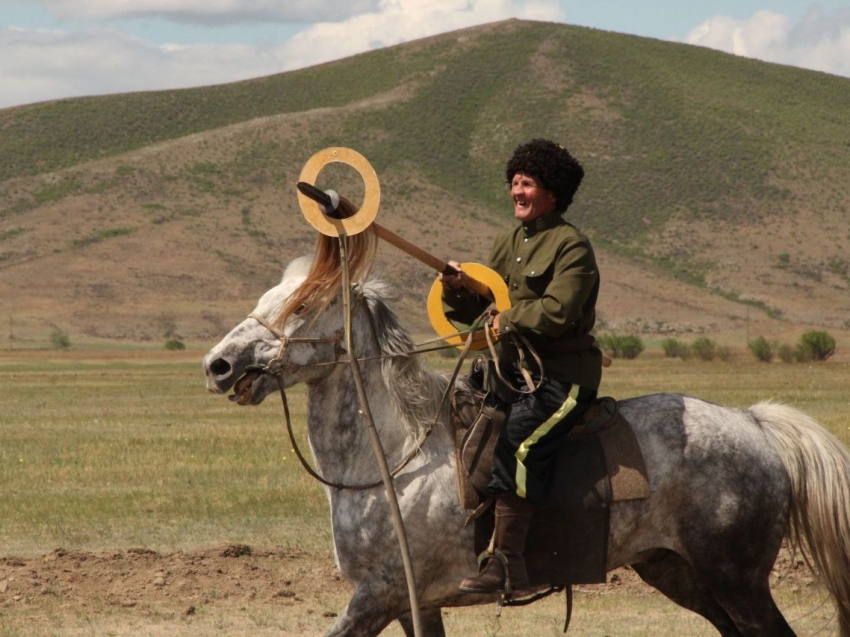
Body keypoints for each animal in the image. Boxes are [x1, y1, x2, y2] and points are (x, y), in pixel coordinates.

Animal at [204, 256, 848, 632]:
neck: (396, 457)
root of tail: (755, 423)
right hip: (681, 574)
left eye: (302, 305)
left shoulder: (376, 596)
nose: (218, 365)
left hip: (737, 580)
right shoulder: (415, 604)